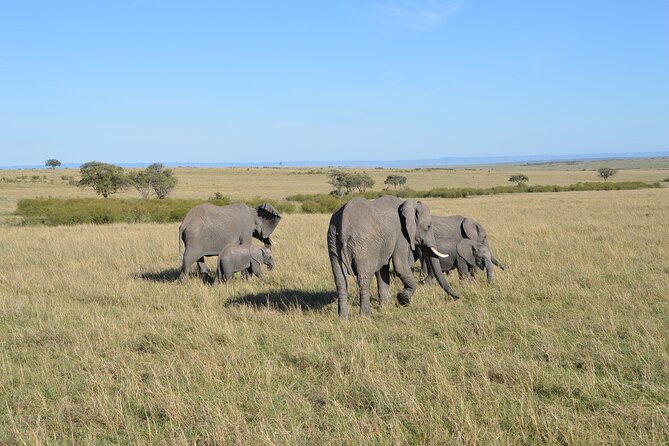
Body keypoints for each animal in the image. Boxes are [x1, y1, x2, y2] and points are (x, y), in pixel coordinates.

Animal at [327, 195, 460, 319]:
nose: (458, 297)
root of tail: (344, 224)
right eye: (428, 226)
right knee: (363, 279)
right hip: (363, 245)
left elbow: (383, 270)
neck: (406, 204)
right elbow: (400, 267)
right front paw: (403, 299)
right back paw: (366, 317)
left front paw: (385, 306)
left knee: (340, 281)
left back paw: (342, 319)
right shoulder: (400, 233)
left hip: (333, 241)